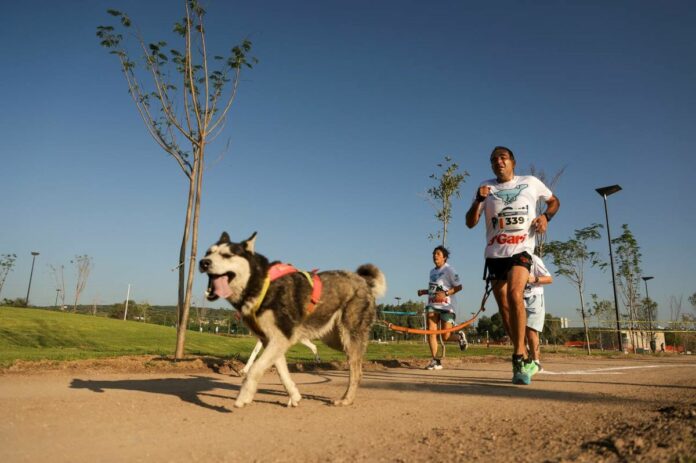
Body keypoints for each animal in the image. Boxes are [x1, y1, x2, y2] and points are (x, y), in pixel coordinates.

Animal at [198, 234, 386, 408]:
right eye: (208, 252)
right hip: (335, 339)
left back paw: (347, 399)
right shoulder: (272, 341)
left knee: (356, 371)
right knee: (358, 361)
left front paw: (244, 396)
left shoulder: (280, 338)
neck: (262, 284)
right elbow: (282, 373)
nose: (203, 262)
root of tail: (363, 281)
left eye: (227, 255)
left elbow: (255, 369)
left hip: (348, 335)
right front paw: (294, 396)